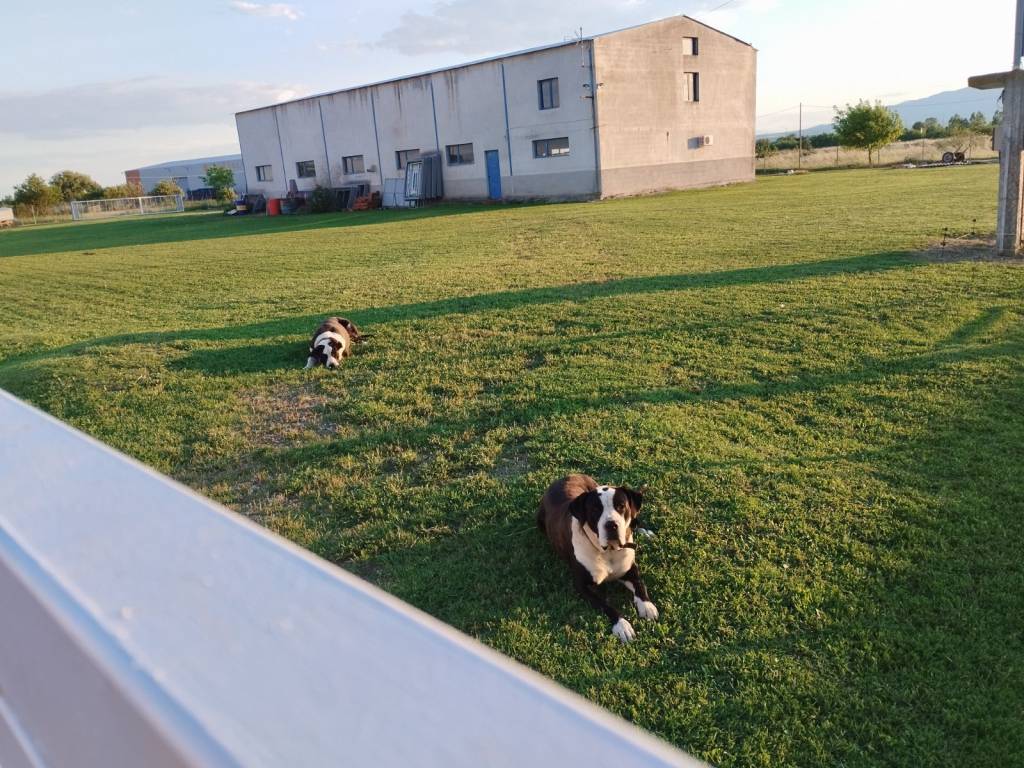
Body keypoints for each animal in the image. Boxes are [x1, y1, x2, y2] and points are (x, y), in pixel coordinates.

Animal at [537, 474, 657, 643]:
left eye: (621, 506)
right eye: (595, 510)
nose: (611, 525)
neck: (609, 552)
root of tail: (568, 475)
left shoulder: (630, 569)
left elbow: (640, 584)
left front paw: (647, 606)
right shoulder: (583, 586)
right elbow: (606, 604)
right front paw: (622, 625)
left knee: (634, 520)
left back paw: (645, 532)